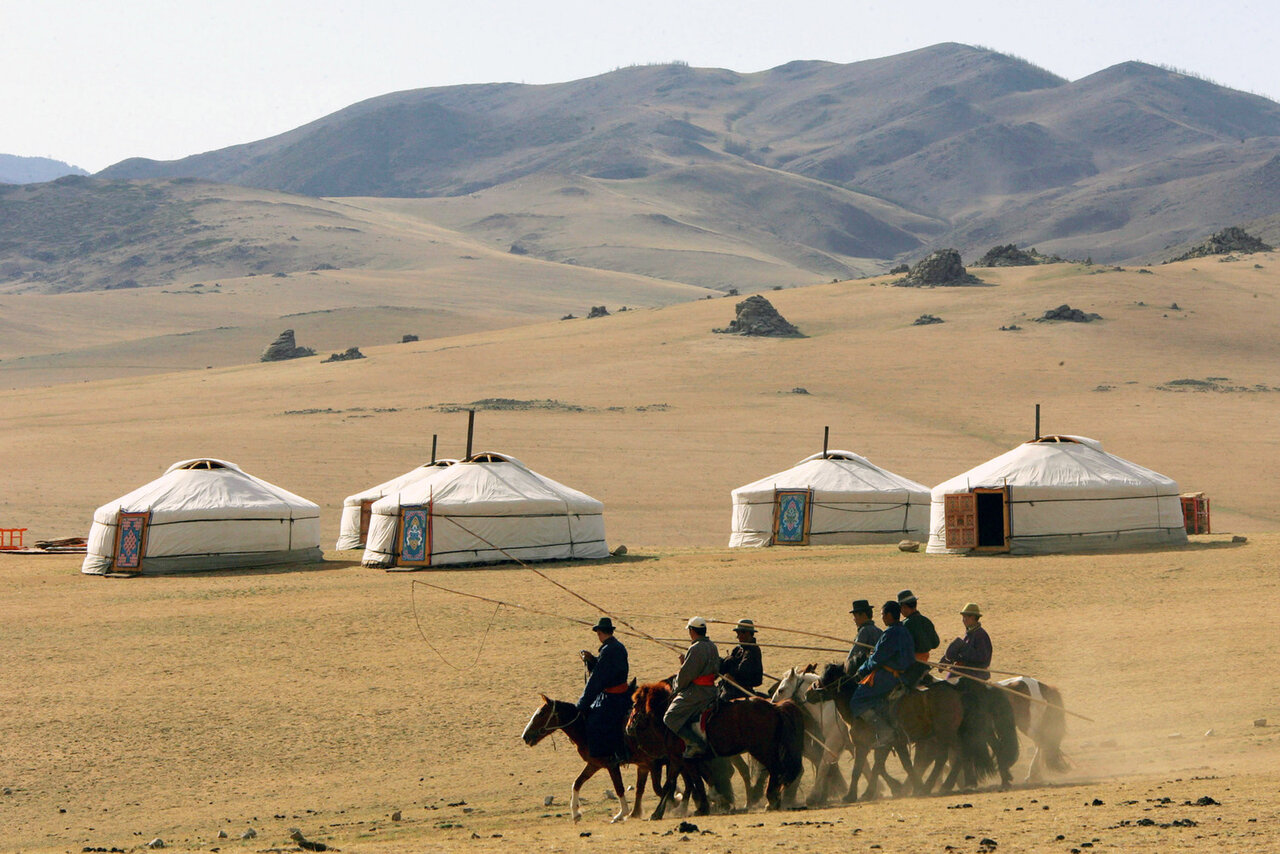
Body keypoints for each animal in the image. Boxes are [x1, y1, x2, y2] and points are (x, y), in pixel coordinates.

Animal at [519, 696, 660, 824]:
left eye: (541, 713)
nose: (525, 736)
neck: (584, 729)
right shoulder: (594, 764)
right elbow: (577, 783)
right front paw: (575, 814)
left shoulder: (612, 764)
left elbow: (619, 787)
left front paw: (621, 813)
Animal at [627, 681, 803, 814]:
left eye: (635, 705)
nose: (628, 727)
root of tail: (774, 707)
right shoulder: (678, 760)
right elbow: (679, 783)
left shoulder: (684, 760)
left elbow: (693, 782)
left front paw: (702, 807)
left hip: (761, 749)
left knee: (775, 769)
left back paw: (772, 800)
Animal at [768, 665, 849, 809]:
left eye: (781, 690)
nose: (773, 703)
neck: (826, 705)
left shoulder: (833, 742)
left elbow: (823, 765)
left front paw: (813, 796)